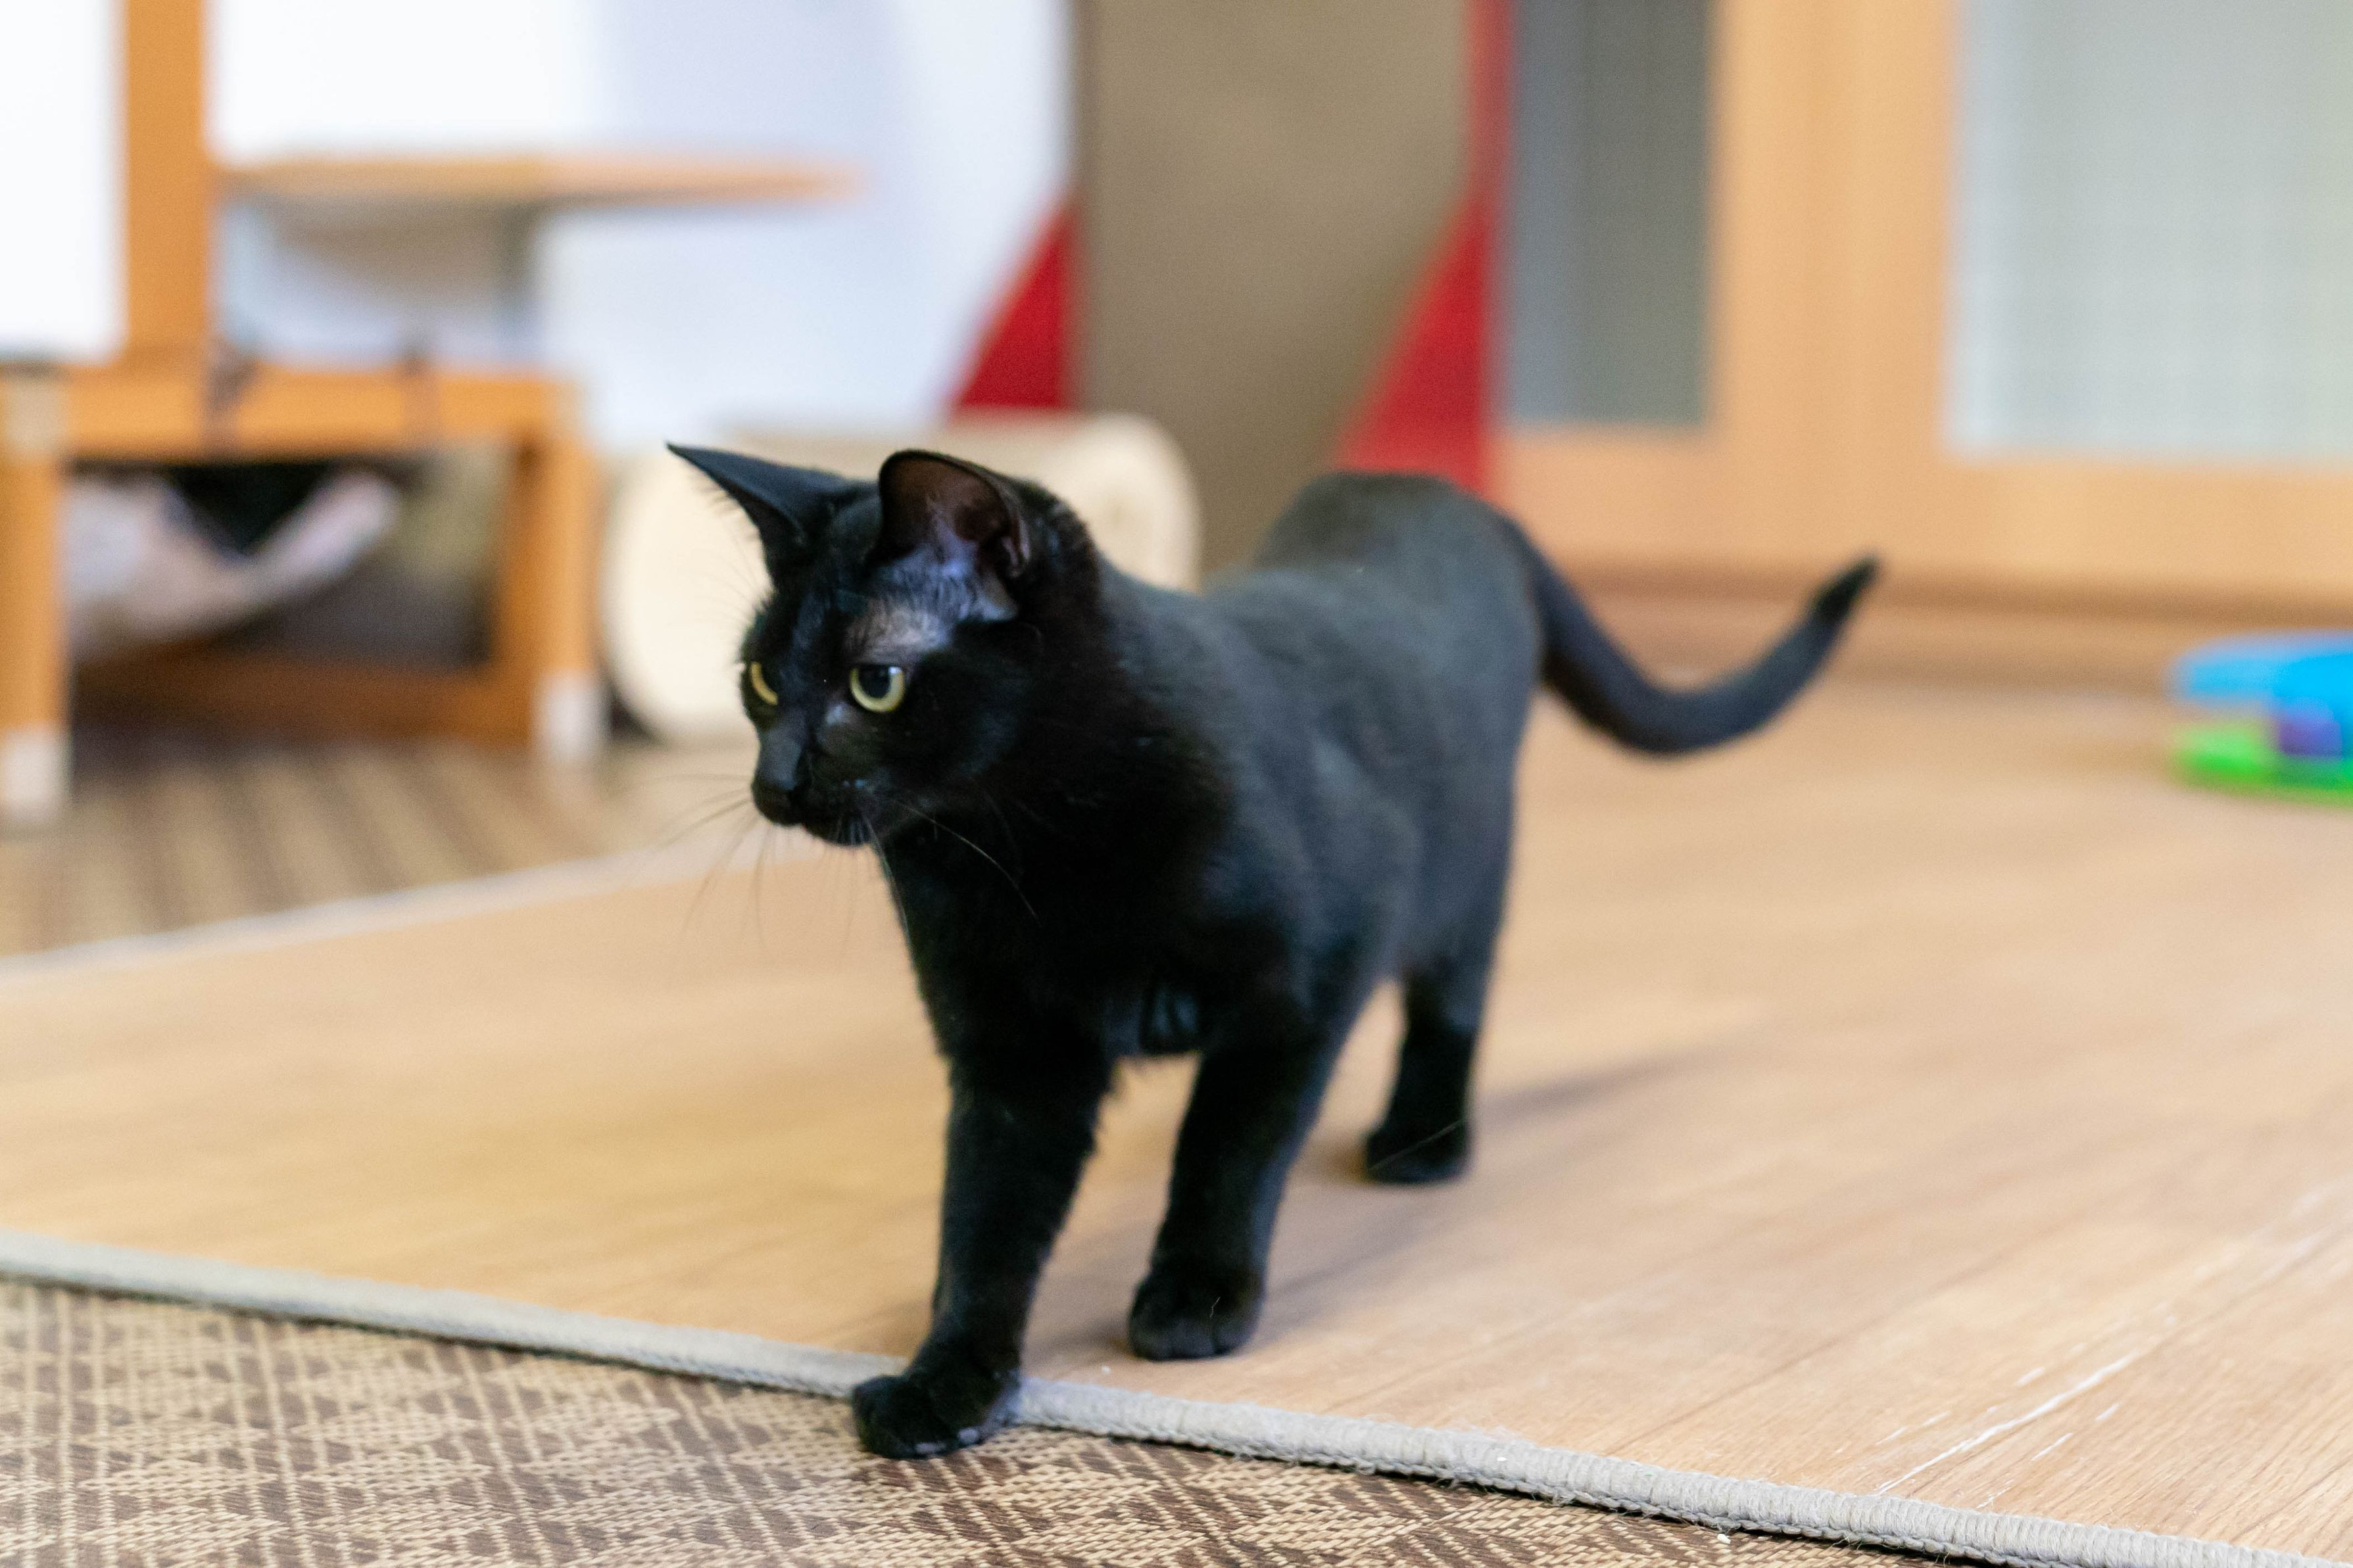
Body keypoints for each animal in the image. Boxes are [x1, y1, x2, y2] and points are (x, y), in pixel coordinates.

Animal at [674, 443, 1874, 1459]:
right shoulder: (1011, 1056)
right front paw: (950, 1380)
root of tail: (1438, 490)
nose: (773, 783)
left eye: (873, 683)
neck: (1023, 851)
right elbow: (983, 1221)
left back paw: (1421, 1140)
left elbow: (1229, 1149)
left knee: (1454, 996)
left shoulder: (1307, 986)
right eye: (760, 682)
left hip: (1468, 863)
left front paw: (1197, 1296)